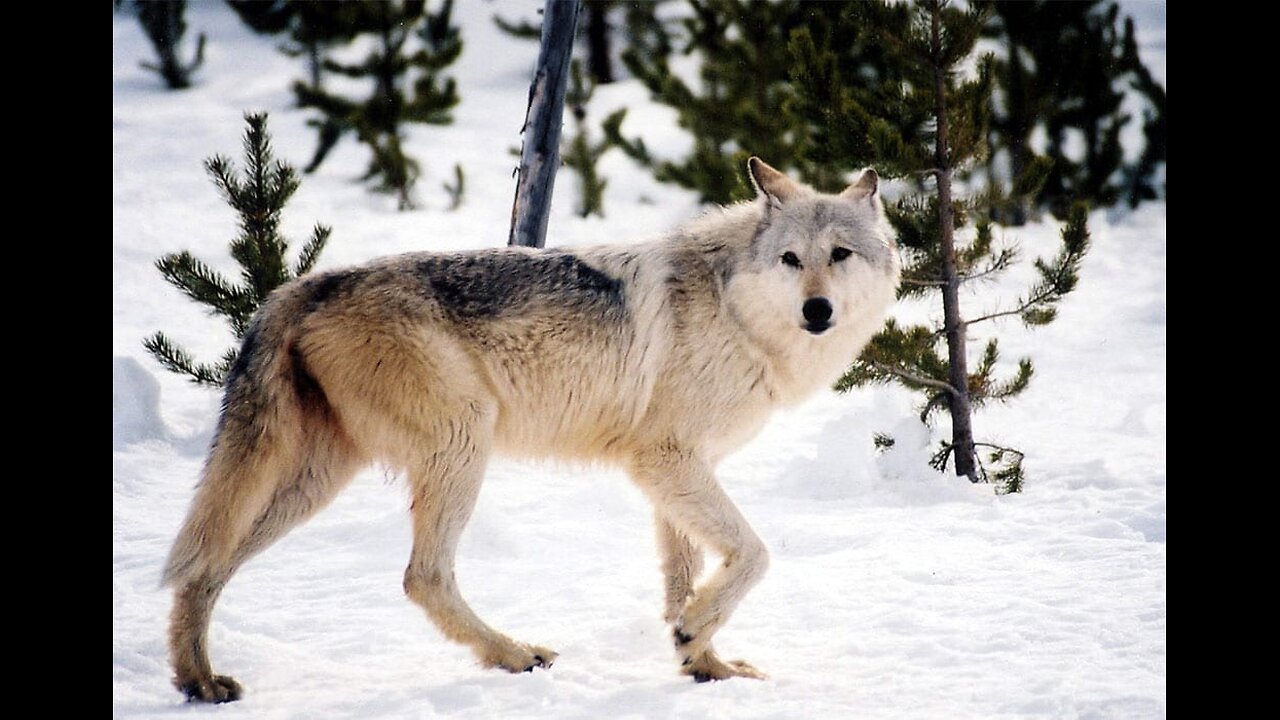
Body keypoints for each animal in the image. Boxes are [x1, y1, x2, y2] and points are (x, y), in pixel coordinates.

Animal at [162, 158, 901, 702]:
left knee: (204, 567)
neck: (735, 309)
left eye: (840, 254)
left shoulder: (678, 472)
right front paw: (696, 638)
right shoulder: (664, 460)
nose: (817, 309)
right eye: (790, 259)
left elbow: (683, 580)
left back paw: (198, 681)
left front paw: (703, 663)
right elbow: (753, 555)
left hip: (315, 481)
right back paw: (513, 654)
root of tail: (302, 286)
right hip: (461, 445)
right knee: (421, 577)